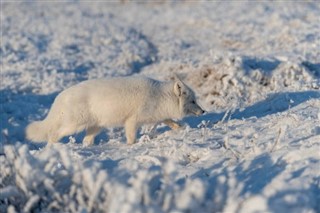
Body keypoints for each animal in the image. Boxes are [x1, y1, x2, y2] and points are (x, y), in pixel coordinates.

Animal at [26, 75, 204, 146]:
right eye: (193, 101)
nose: (203, 112)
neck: (159, 96)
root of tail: (60, 96)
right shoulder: (132, 121)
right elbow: (131, 137)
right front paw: (131, 146)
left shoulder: (156, 115)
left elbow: (168, 121)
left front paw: (179, 128)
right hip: (74, 125)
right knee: (54, 134)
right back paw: (52, 147)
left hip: (95, 127)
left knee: (86, 140)